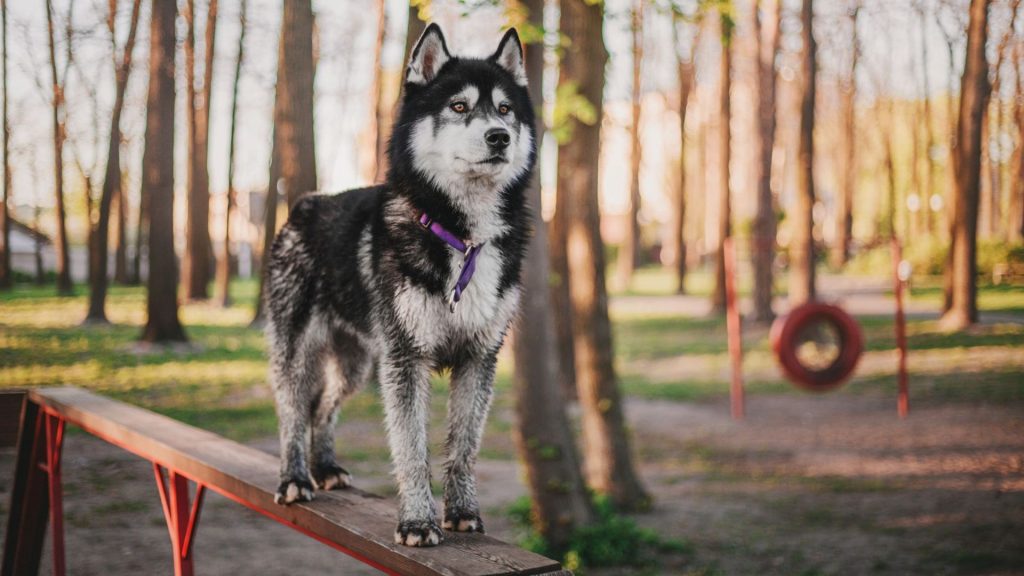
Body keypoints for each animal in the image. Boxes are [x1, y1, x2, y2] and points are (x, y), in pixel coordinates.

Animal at [264, 23, 536, 545]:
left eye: (505, 110)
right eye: (459, 106)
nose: (498, 137)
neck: (462, 236)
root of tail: (305, 204)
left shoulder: (479, 358)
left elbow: (464, 446)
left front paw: (462, 512)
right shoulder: (406, 360)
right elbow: (411, 447)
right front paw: (417, 521)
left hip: (358, 363)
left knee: (322, 408)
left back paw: (326, 468)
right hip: (299, 348)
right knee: (291, 410)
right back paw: (294, 478)